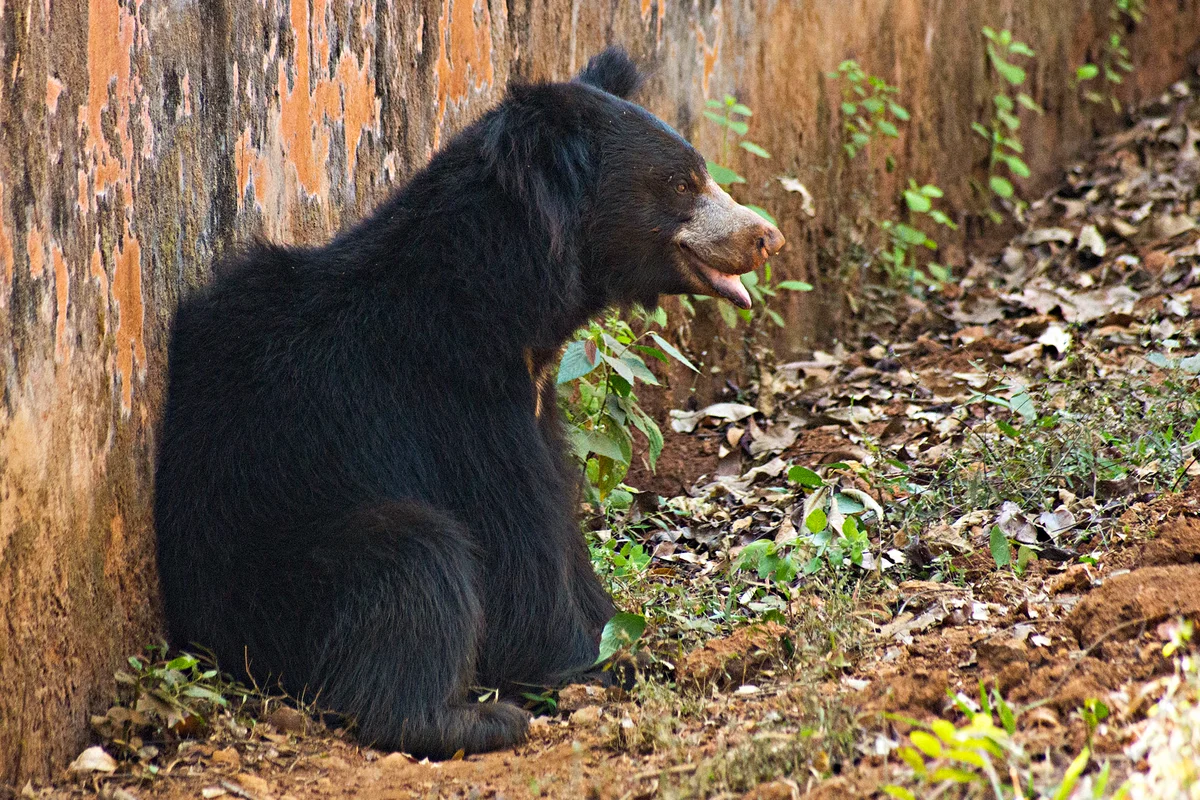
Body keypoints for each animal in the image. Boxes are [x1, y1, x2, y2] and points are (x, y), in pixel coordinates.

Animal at [154, 47, 782, 762]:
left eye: (700, 174)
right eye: (680, 184)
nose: (766, 237)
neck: (504, 301)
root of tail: (203, 638)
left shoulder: (534, 404)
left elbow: (560, 525)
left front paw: (622, 636)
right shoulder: (450, 400)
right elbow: (517, 540)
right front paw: (603, 664)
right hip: (283, 585)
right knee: (416, 558)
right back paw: (472, 721)